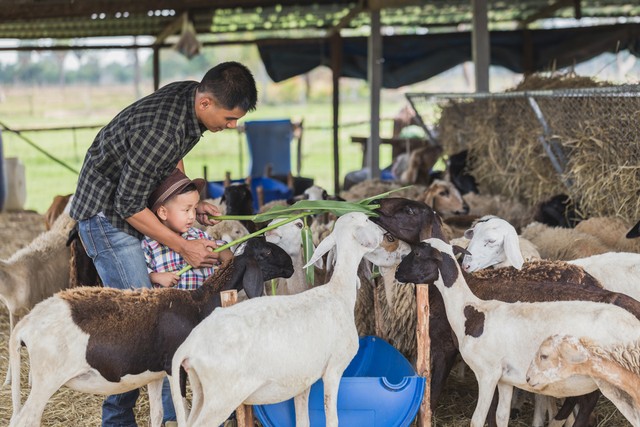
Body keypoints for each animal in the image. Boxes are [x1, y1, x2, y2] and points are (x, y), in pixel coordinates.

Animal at [8, 239, 294, 427]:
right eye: (267, 251)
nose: (291, 264)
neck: (199, 304)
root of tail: (25, 324)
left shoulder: (155, 374)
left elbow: (157, 415)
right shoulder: (175, 367)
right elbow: (184, 415)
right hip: (46, 379)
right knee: (26, 419)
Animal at [168, 214, 402, 427]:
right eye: (366, 220)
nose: (385, 233)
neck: (337, 291)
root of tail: (190, 345)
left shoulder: (303, 379)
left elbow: (302, 420)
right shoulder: (334, 369)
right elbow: (332, 418)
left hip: (200, 391)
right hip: (221, 397)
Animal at [396, 239, 640, 427]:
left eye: (417, 253)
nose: (398, 272)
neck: (472, 310)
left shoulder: (485, 373)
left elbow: (476, 418)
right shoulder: (505, 379)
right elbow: (500, 417)